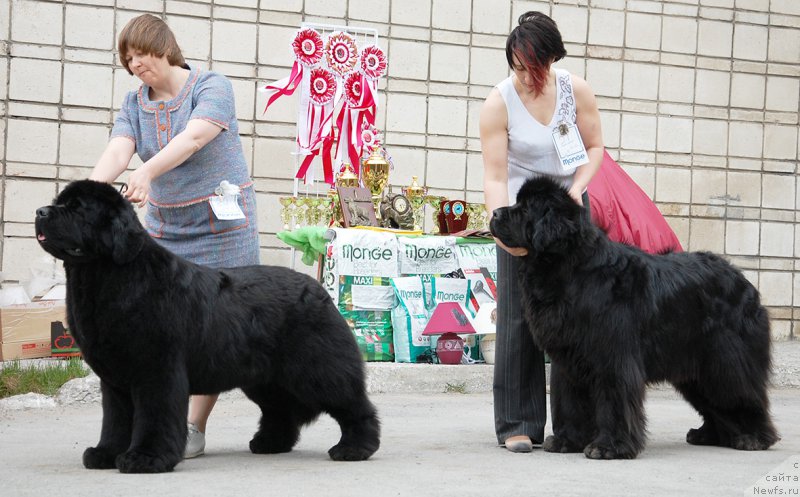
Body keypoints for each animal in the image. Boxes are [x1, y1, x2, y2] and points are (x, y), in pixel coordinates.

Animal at [33, 180, 378, 470]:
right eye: (59, 202)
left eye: (77, 208)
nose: (40, 211)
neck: (106, 277)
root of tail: (319, 289)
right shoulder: (116, 380)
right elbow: (116, 421)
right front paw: (106, 454)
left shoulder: (157, 370)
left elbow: (154, 416)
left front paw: (146, 458)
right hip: (264, 378)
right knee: (280, 410)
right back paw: (270, 443)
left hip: (318, 368)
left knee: (353, 404)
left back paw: (355, 448)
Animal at [490, 176, 780, 460]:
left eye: (525, 209)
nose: (494, 212)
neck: (571, 269)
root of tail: (745, 282)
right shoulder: (569, 360)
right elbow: (571, 401)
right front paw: (567, 441)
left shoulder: (612, 357)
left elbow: (612, 401)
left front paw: (608, 447)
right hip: (695, 368)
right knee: (713, 402)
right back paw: (709, 435)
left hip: (724, 360)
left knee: (740, 393)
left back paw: (753, 437)